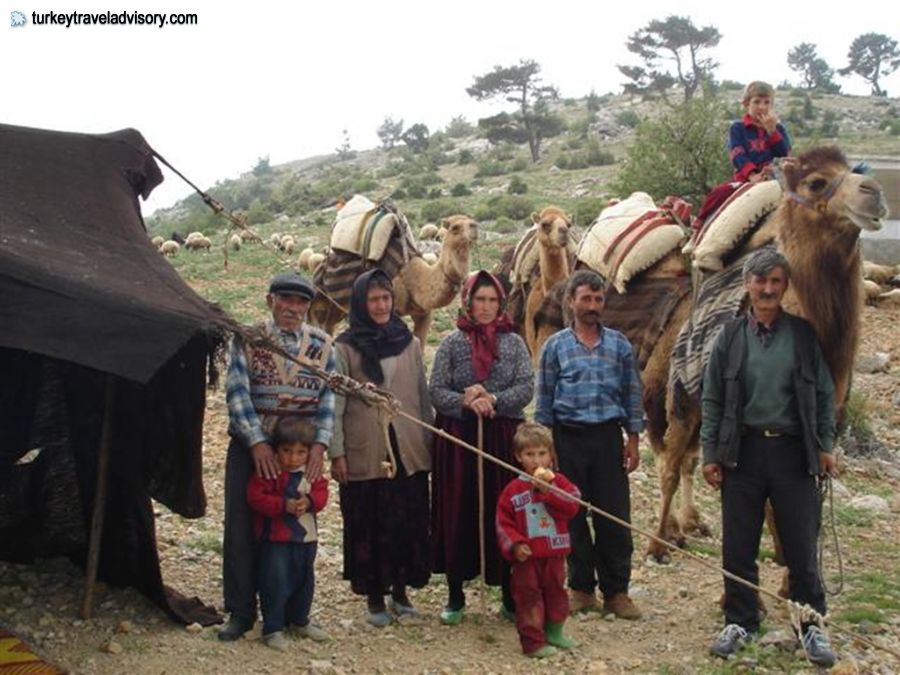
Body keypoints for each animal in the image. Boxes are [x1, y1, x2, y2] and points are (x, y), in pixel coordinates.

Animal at [308, 215, 478, 346]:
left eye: (470, 219)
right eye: (455, 227)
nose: (475, 226)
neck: (415, 280)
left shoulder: (425, 314)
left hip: (337, 308)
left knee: (329, 327)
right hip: (319, 299)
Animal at [532, 147, 888, 560]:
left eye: (855, 169)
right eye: (816, 182)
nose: (874, 194)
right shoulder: (683, 395)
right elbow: (671, 469)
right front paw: (656, 543)